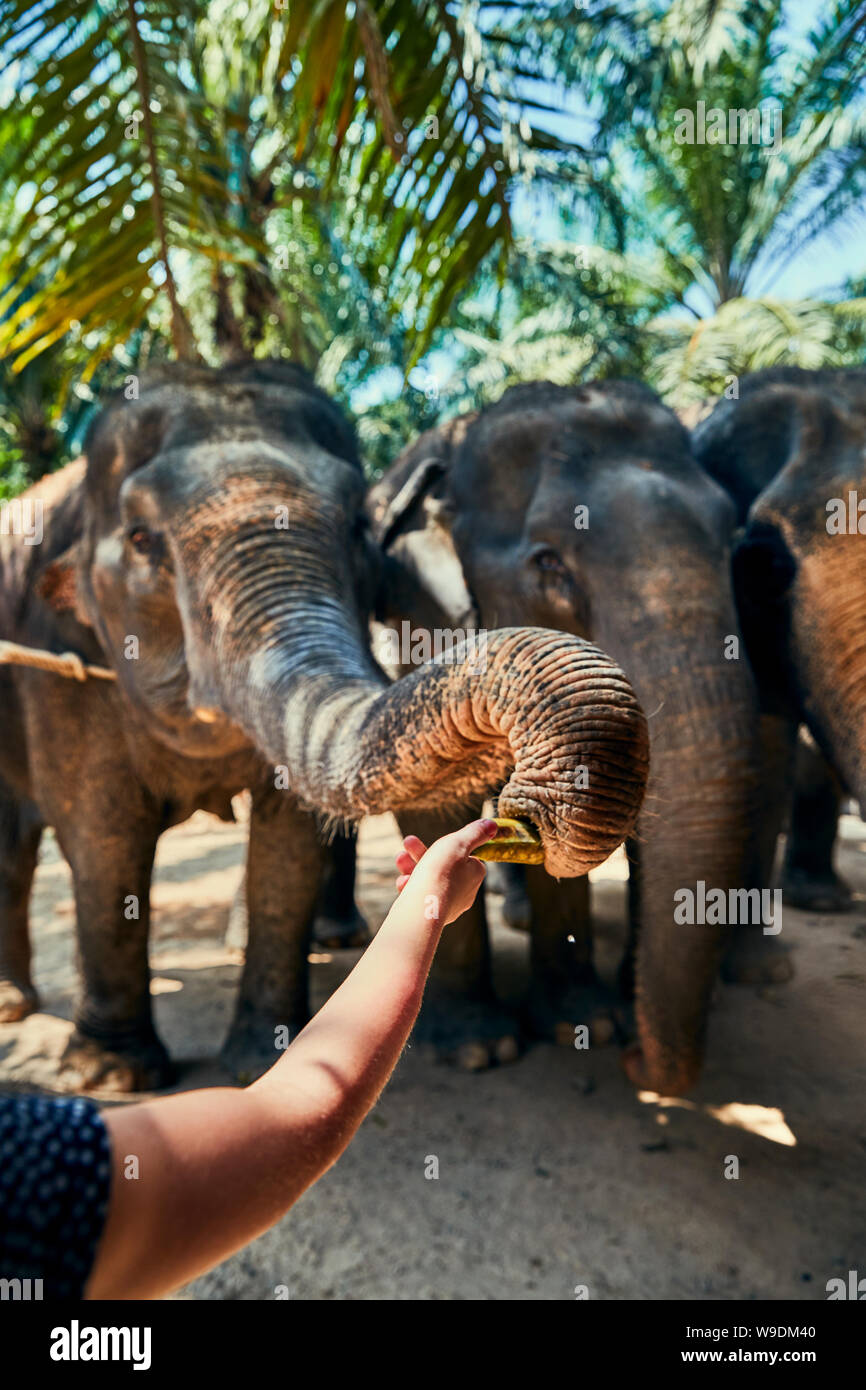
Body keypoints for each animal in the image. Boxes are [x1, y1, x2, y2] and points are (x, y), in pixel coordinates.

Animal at [0, 361, 650, 1095]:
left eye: (359, 532)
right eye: (141, 540)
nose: (523, 813)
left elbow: (290, 839)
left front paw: (265, 1061)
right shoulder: (59, 661)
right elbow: (103, 834)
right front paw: (113, 1077)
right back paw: (15, 1006)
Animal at [369, 378, 789, 1095]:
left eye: (731, 544)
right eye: (548, 564)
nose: (638, 1062)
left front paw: (587, 1025)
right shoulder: (411, 617)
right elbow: (430, 797)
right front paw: (480, 1049)